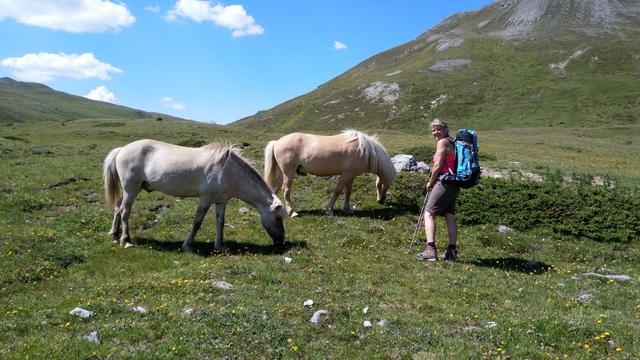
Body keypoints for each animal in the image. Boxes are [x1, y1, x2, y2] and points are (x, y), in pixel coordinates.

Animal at [103, 139, 288, 252]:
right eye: (278, 218)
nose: (281, 241)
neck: (228, 171)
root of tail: (122, 150)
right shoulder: (205, 199)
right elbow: (197, 223)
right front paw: (187, 246)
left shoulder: (221, 202)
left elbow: (220, 223)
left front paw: (220, 247)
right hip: (131, 189)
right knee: (125, 212)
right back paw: (126, 240)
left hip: (130, 189)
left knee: (118, 208)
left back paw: (114, 234)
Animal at [262, 131, 396, 218]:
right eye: (386, 185)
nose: (381, 200)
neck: (364, 150)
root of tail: (277, 142)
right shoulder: (345, 174)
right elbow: (337, 191)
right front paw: (329, 210)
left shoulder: (351, 175)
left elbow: (348, 192)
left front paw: (347, 209)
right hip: (288, 173)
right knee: (286, 190)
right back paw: (292, 212)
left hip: (282, 173)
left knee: (275, 188)